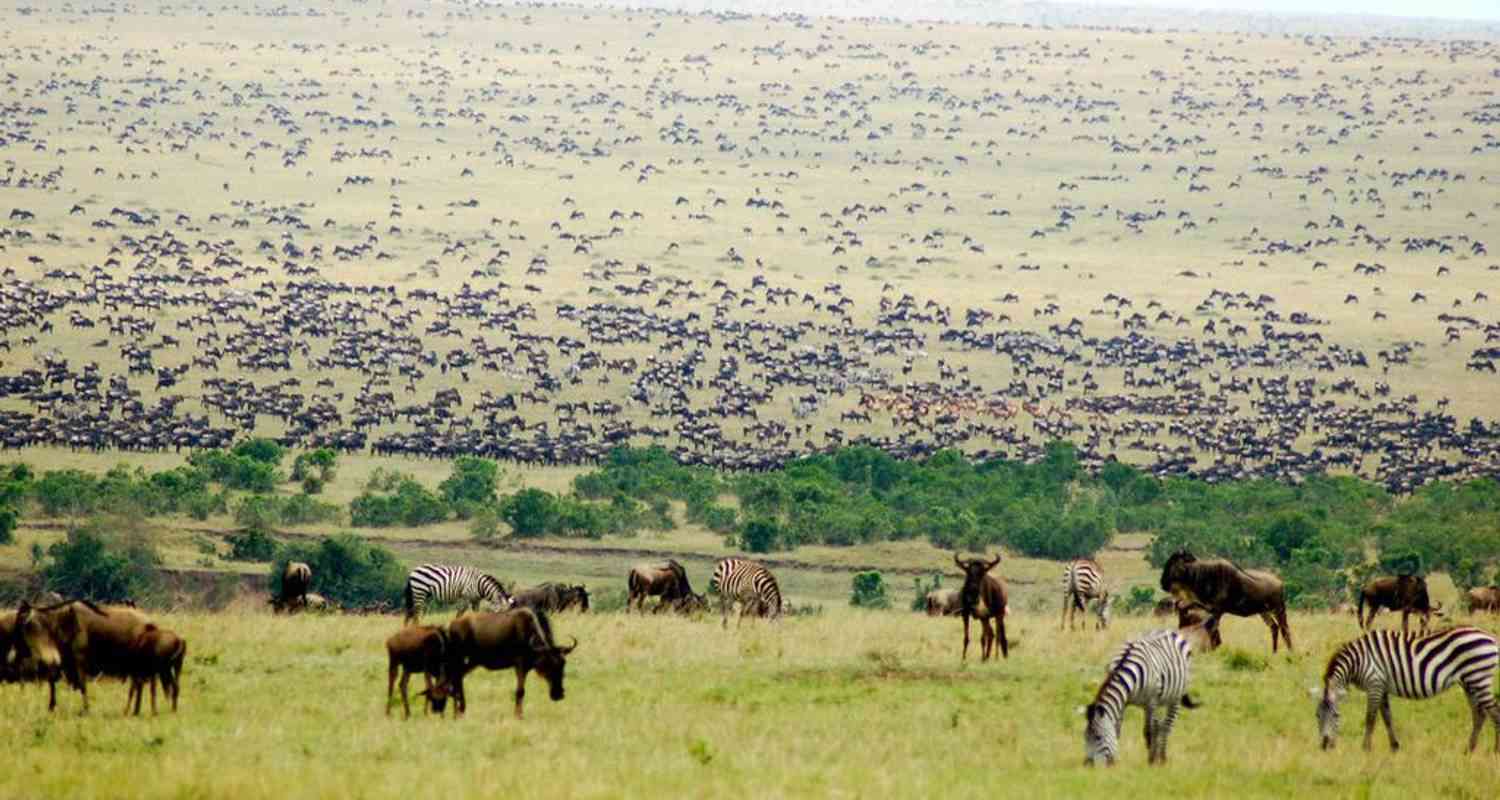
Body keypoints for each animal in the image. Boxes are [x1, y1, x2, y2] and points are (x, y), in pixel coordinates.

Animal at [1086, 627, 1200, 765]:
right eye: (1085, 738)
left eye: (1098, 737)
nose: (1087, 765)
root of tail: (1167, 630)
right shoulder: (1123, 702)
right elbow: (1117, 729)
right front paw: (1116, 760)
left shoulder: (1151, 702)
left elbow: (1148, 732)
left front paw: (1151, 761)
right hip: (1158, 701)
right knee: (1159, 725)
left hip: (1175, 697)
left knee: (1166, 726)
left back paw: (1162, 758)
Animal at [1314, 627, 1500, 750]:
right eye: (1317, 716)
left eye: (1336, 715)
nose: (1324, 745)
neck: (1358, 661)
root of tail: (1490, 637)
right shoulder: (1382, 686)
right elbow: (1387, 717)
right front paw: (1394, 746)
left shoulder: (1374, 683)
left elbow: (1370, 718)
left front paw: (1365, 748)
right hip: (1470, 682)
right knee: (1479, 715)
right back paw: (1469, 749)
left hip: (1479, 678)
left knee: (1494, 712)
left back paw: (1495, 750)